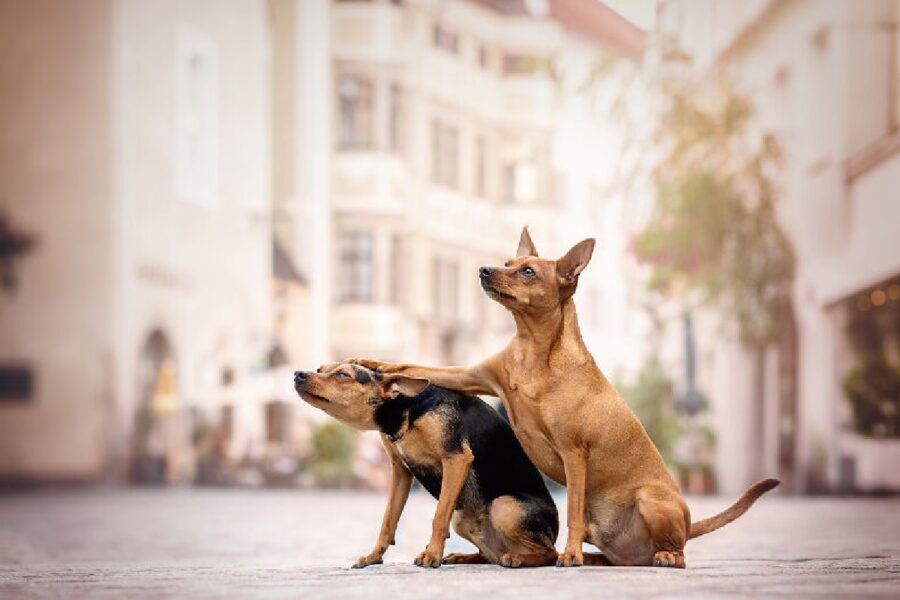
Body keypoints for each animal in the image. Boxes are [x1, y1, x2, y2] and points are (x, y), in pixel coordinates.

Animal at [292, 360, 560, 568]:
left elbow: (439, 516)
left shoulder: (456, 459)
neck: (406, 408)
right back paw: (463, 556)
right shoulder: (400, 472)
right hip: (462, 518)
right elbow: (388, 521)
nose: (298, 374)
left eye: (343, 375)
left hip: (504, 506)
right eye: (320, 368)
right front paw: (373, 557)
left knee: (550, 553)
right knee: (489, 555)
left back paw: (519, 558)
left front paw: (432, 555)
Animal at [356, 225, 776, 568]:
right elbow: (417, 366)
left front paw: (570, 555)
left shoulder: (574, 452)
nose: (484, 270)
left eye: (528, 271)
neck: (533, 353)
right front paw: (372, 364)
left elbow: (571, 508)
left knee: (676, 551)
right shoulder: (474, 376)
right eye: (509, 262)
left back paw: (658, 555)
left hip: (649, 500)